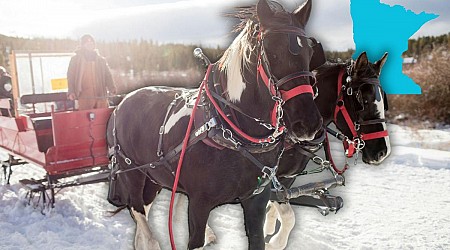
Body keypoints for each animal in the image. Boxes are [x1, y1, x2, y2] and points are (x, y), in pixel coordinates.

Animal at [105, 0, 324, 249]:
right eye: (271, 51)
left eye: (309, 52)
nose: (308, 123)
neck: (232, 130)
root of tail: (121, 103)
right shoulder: (199, 203)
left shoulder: (256, 199)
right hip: (131, 173)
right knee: (139, 214)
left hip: (154, 176)